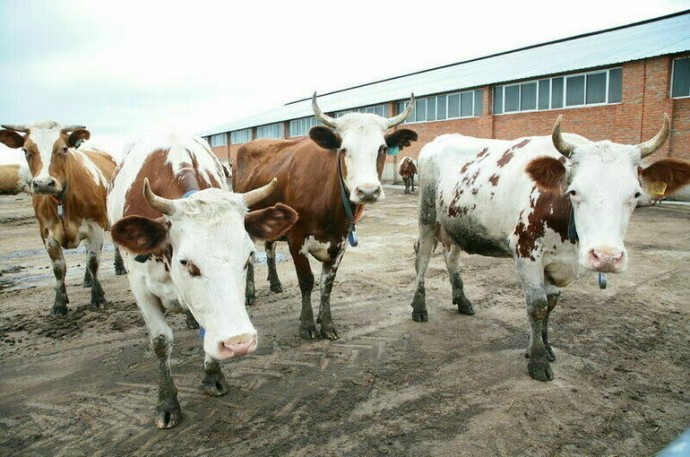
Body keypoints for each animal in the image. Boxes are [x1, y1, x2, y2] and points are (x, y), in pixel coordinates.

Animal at [0, 119, 126, 316]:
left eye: (64, 149)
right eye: (26, 150)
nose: (44, 184)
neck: (63, 199)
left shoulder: (95, 227)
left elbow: (93, 261)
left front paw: (98, 298)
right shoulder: (47, 233)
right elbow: (59, 268)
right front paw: (59, 303)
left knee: (110, 246)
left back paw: (119, 267)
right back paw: (86, 280)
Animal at [108, 132, 298, 428]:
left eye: (248, 257)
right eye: (186, 262)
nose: (238, 342)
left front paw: (214, 377)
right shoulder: (140, 289)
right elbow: (160, 342)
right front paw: (167, 403)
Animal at [231, 93, 416, 338]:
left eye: (383, 148)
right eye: (344, 149)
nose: (367, 191)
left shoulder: (340, 242)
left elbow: (327, 283)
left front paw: (326, 323)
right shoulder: (297, 238)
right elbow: (307, 281)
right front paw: (308, 324)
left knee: (270, 248)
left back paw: (275, 283)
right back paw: (250, 293)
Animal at [408, 115, 688, 382]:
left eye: (636, 194)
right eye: (573, 191)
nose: (606, 257)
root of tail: (439, 140)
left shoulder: (559, 263)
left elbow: (551, 304)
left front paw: (544, 345)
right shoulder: (527, 253)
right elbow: (537, 306)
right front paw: (537, 360)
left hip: (455, 225)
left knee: (451, 258)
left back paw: (462, 300)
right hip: (427, 217)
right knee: (422, 259)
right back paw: (419, 308)